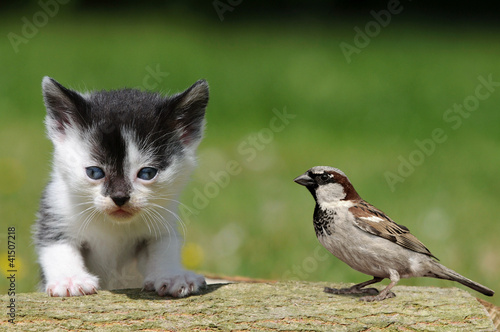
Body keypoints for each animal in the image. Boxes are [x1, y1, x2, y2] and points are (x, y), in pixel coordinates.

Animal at [33, 76, 209, 296]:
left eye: (147, 173)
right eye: (95, 172)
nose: (119, 197)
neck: (113, 226)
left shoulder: (161, 222)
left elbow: (163, 246)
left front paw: (172, 275)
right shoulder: (56, 208)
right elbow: (56, 245)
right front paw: (70, 279)